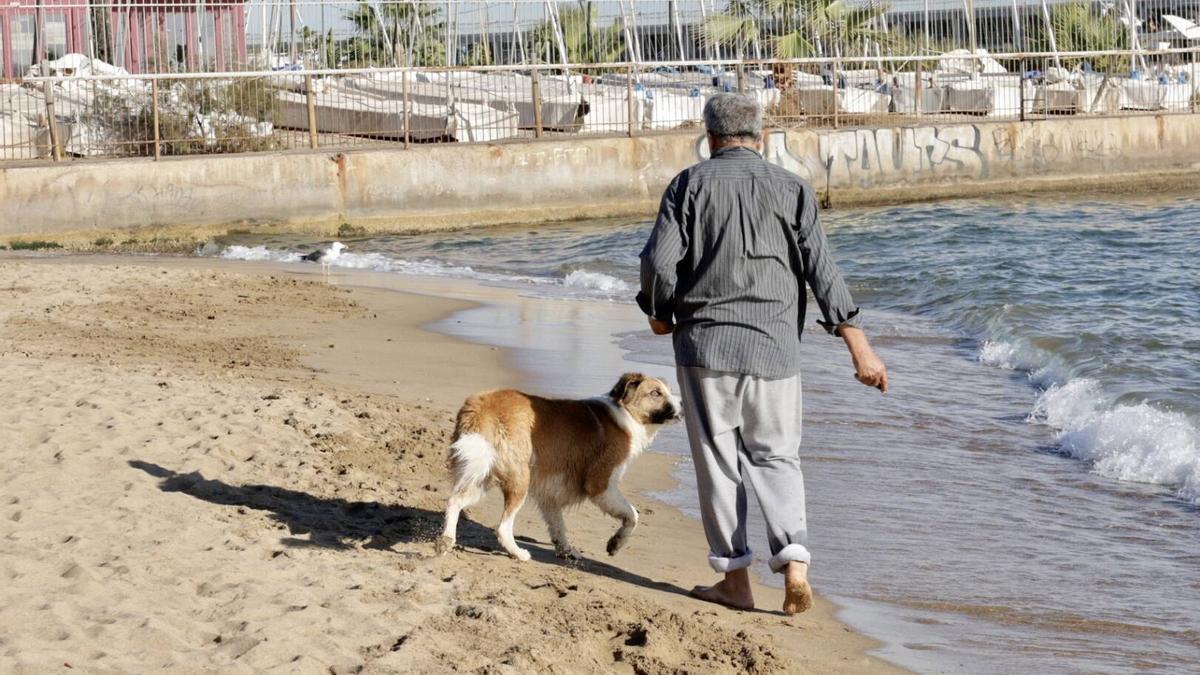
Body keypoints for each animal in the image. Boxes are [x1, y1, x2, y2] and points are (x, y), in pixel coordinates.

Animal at [434, 369, 681, 559]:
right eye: (656, 393)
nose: (681, 405)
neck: (625, 412)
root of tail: (480, 406)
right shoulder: (601, 485)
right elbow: (632, 515)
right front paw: (616, 543)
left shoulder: (549, 495)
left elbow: (558, 526)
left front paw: (567, 551)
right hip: (518, 479)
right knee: (502, 528)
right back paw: (519, 554)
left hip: (482, 474)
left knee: (454, 501)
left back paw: (446, 541)